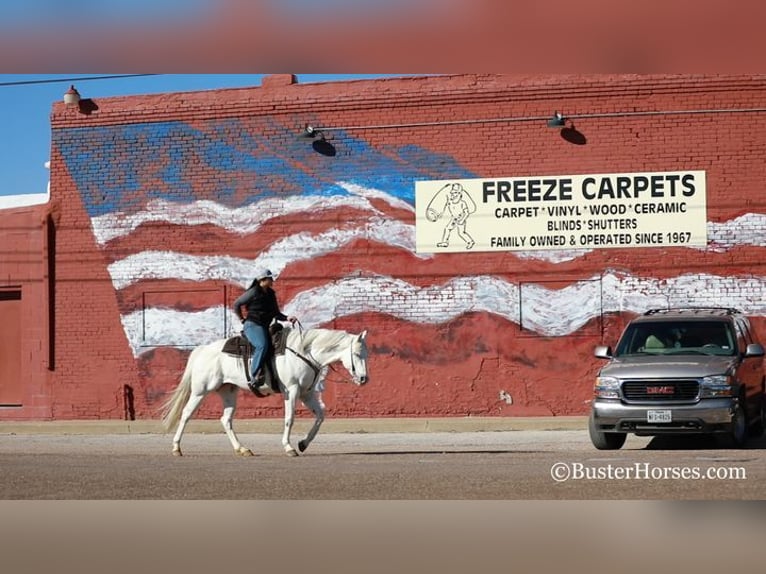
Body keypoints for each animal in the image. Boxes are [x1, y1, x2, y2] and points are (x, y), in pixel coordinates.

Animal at [159, 328, 368, 460]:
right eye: (357, 354)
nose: (364, 378)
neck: (304, 353)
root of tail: (202, 349)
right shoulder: (291, 390)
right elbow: (289, 418)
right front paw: (289, 447)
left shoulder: (306, 394)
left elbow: (320, 416)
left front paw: (303, 444)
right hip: (200, 390)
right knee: (186, 414)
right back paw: (176, 448)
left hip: (228, 392)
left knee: (226, 420)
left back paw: (242, 449)